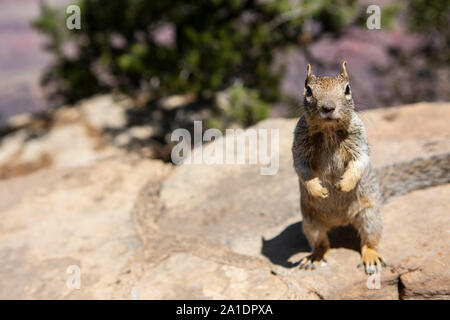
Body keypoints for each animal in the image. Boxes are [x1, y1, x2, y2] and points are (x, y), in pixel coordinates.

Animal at [292, 61, 450, 274]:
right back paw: (315, 257)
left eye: (348, 89)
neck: (329, 130)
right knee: (322, 243)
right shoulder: (299, 144)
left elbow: (360, 161)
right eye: (308, 90)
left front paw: (344, 185)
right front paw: (317, 189)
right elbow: (300, 167)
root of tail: (340, 221)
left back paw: (371, 257)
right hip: (311, 222)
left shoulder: (360, 142)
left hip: (370, 216)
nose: (328, 107)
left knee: (369, 241)